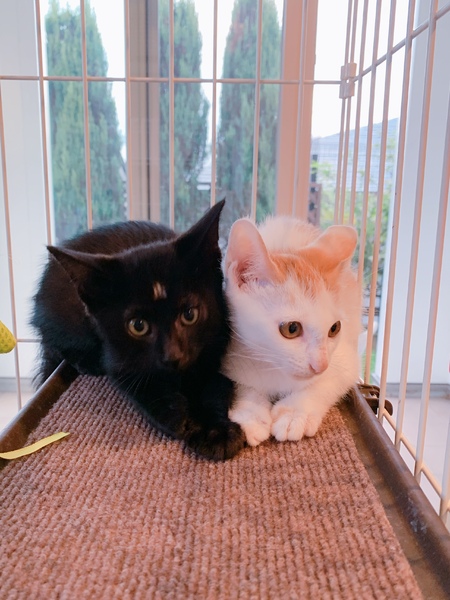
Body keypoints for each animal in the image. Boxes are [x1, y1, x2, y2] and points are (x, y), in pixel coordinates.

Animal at [31, 200, 245, 461]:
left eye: (190, 314)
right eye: (138, 326)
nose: (172, 356)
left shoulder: (221, 338)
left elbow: (216, 386)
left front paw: (216, 431)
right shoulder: (115, 355)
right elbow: (139, 384)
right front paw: (177, 413)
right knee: (54, 341)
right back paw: (85, 360)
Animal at [221, 215, 362, 447]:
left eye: (334, 328)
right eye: (291, 328)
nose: (320, 365)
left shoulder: (346, 361)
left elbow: (325, 383)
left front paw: (296, 414)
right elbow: (244, 386)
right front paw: (251, 415)